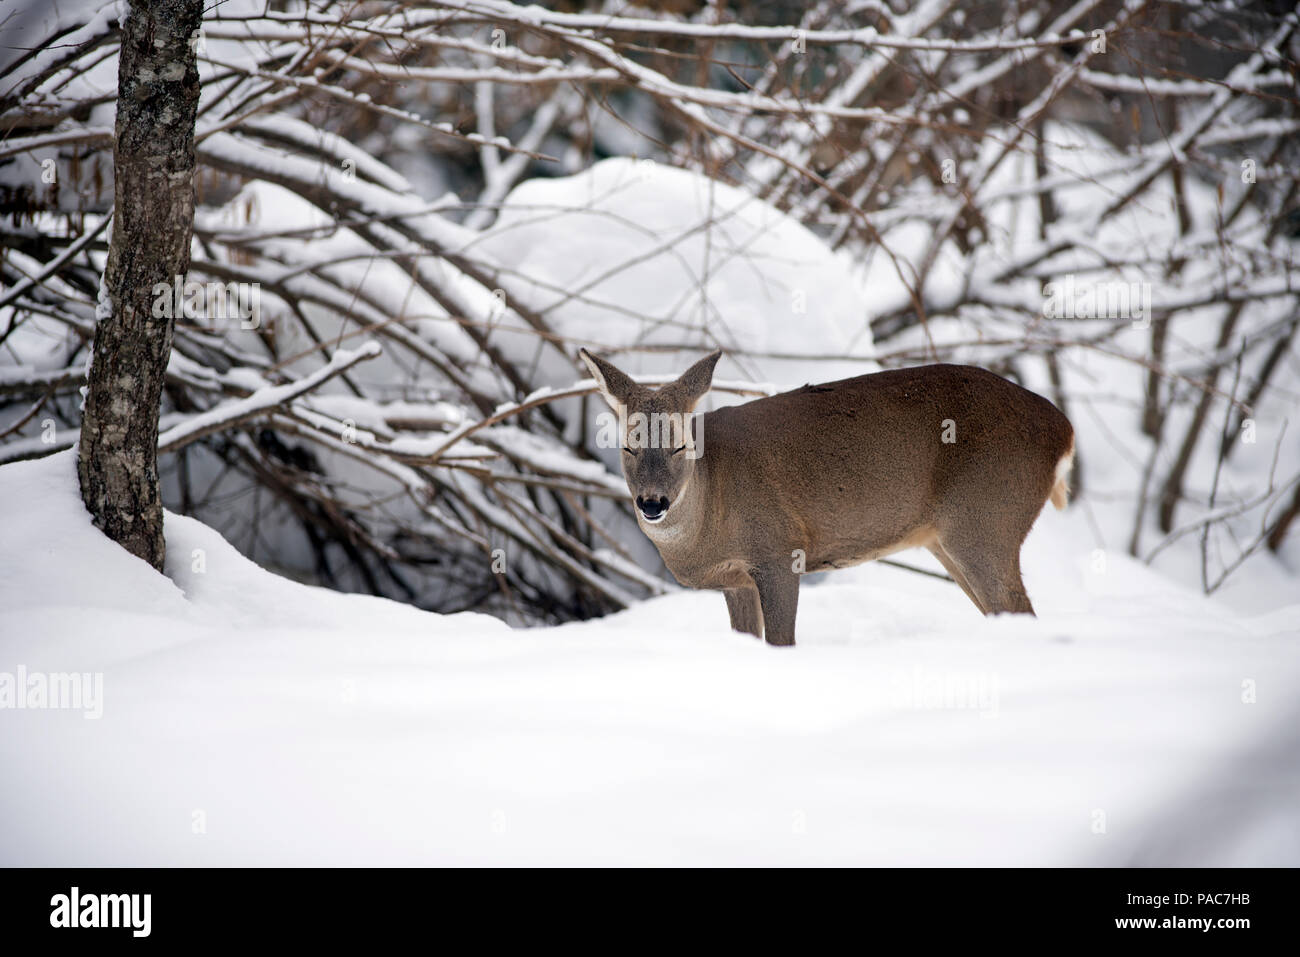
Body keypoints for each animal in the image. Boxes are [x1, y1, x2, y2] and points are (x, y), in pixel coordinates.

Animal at [578, 349, 1075, 646]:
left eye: (680, 444)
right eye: (627, 446)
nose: (653, 502)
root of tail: (1064, 431)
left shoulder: (780, 549)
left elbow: (782, 642)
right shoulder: (735, 581)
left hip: (986, 517)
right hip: (949, 539)